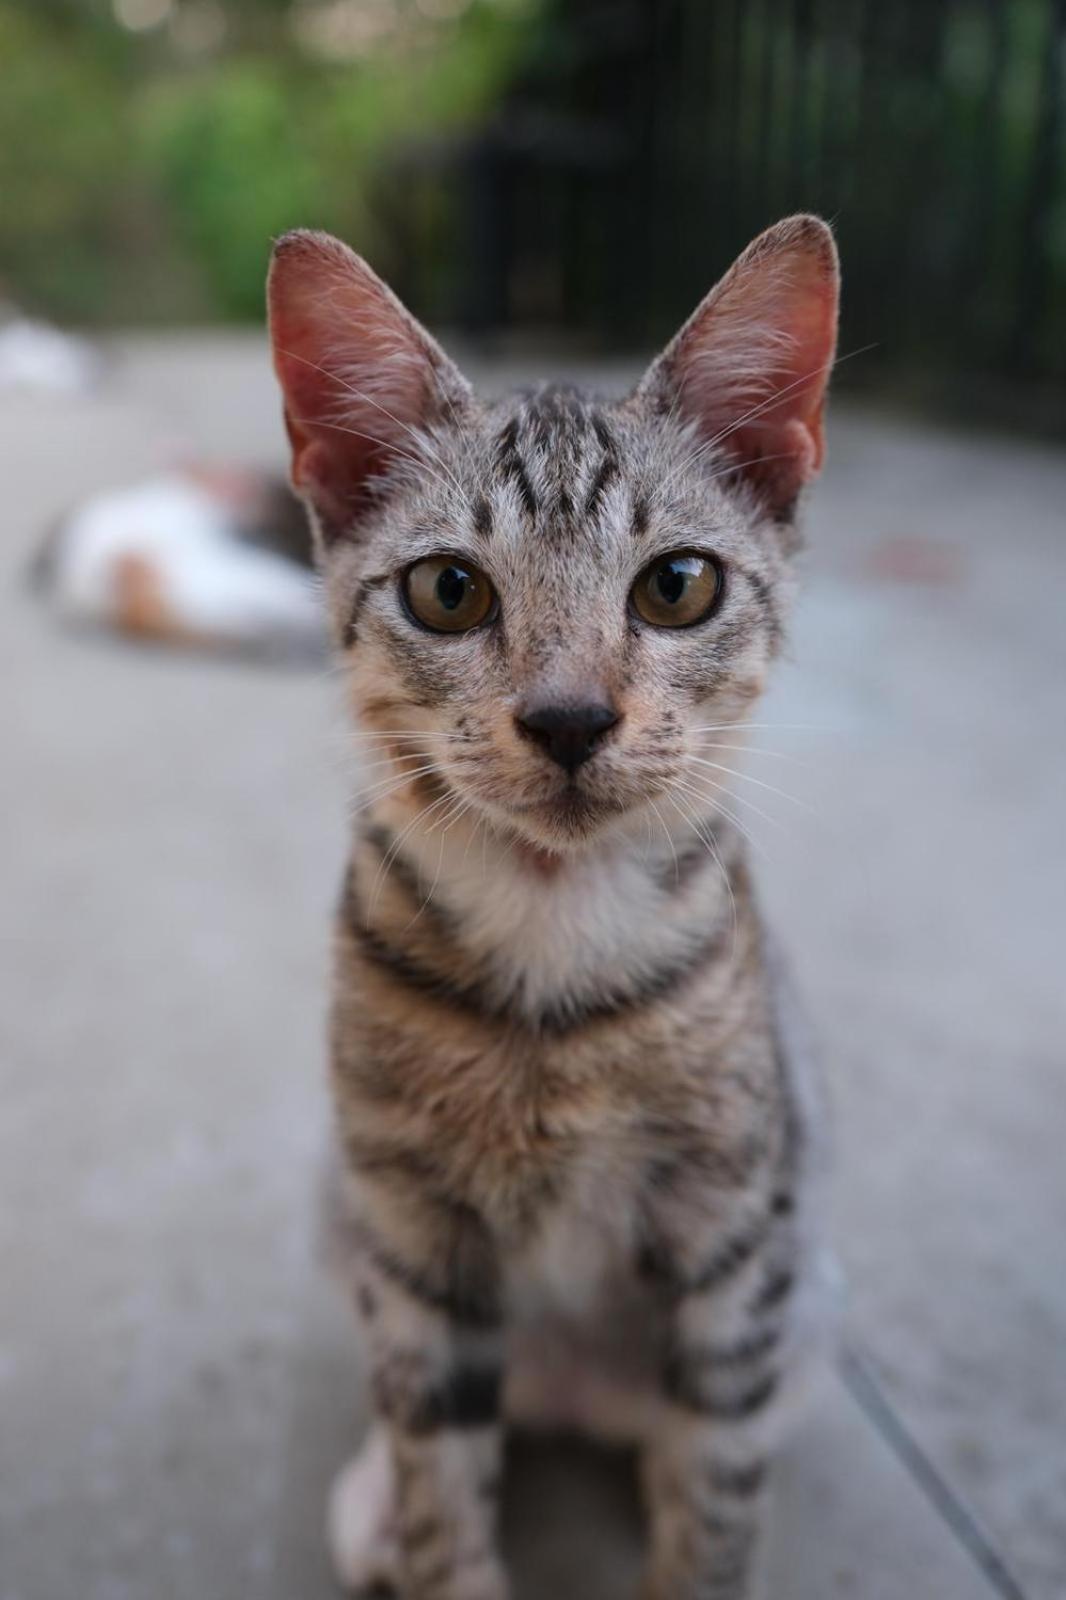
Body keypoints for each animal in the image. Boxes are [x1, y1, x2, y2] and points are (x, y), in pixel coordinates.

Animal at [265, 216, 838, 1600]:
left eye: (676, 585)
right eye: (449, 591)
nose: (571, 719)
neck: (554, 931)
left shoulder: (737, 1235)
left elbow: (716, 1487)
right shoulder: (413, 1227)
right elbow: (439, 1476)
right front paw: (423, 1527)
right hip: (350, 1208)